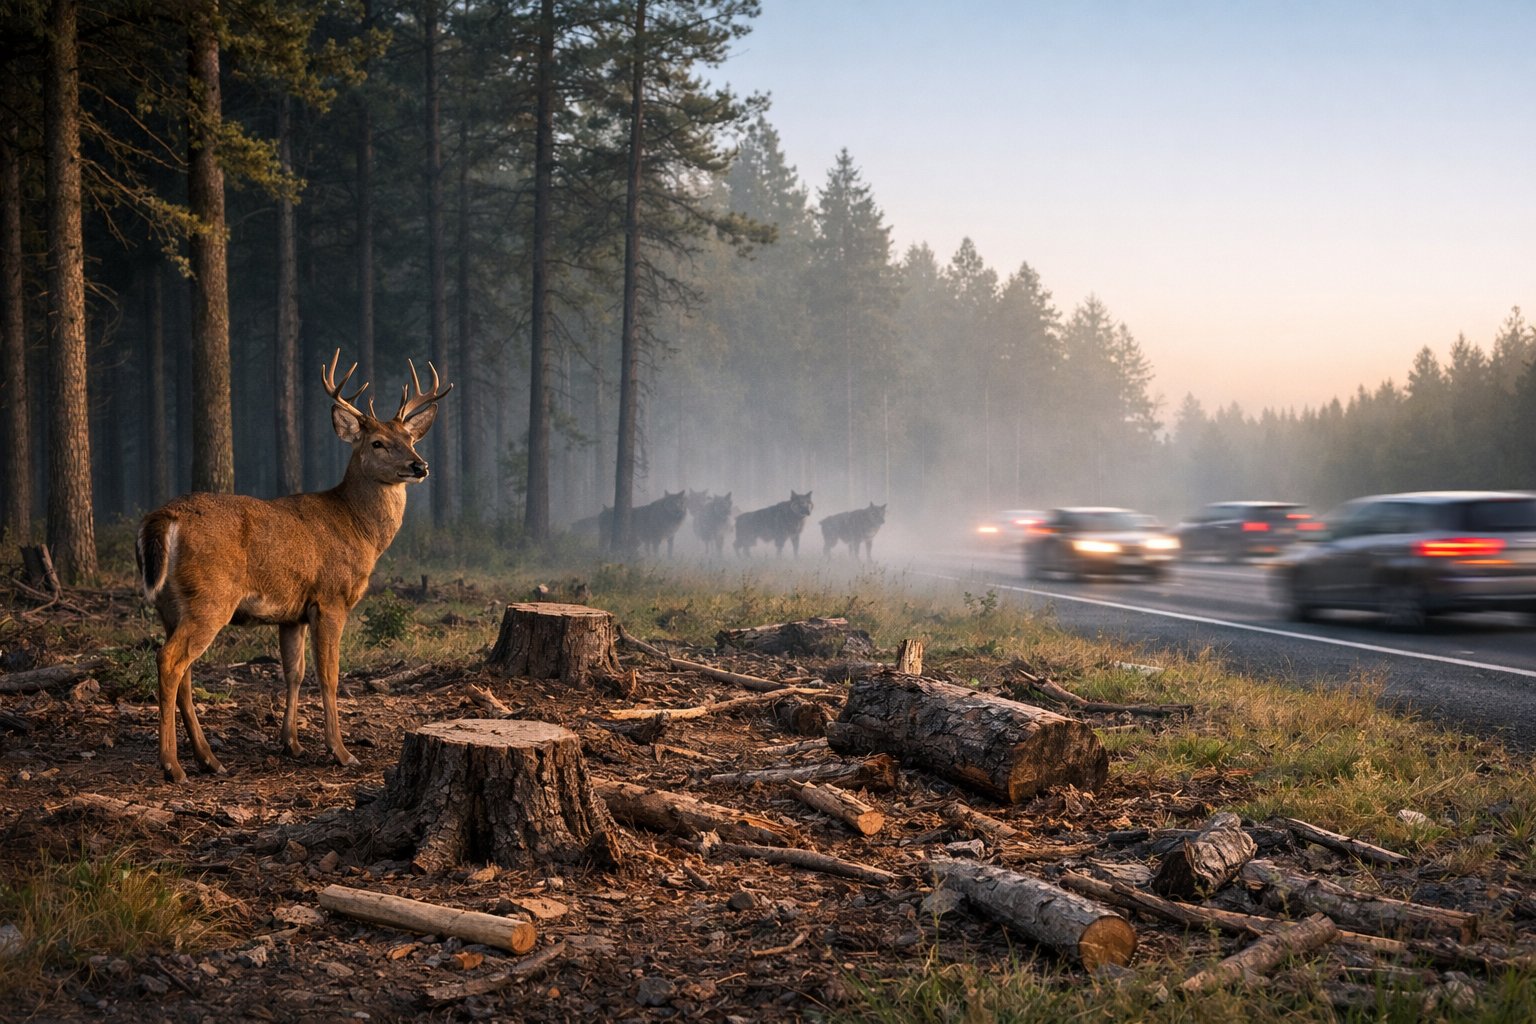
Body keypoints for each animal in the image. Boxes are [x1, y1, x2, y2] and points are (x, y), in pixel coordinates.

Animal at [137, 351, 451, 782]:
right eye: (378, 442)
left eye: (411, 439)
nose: (420, 466)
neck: (358, 529)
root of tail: (164, 517)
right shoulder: (331, 598)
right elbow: (329, 675)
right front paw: (340, 751)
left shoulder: (292, 613)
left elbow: (294, 671)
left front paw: (292, 743)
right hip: (211, 597)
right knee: (169, 662)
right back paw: (172, 765)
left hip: (169, 605)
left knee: (183, 671)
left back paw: (208, 759)